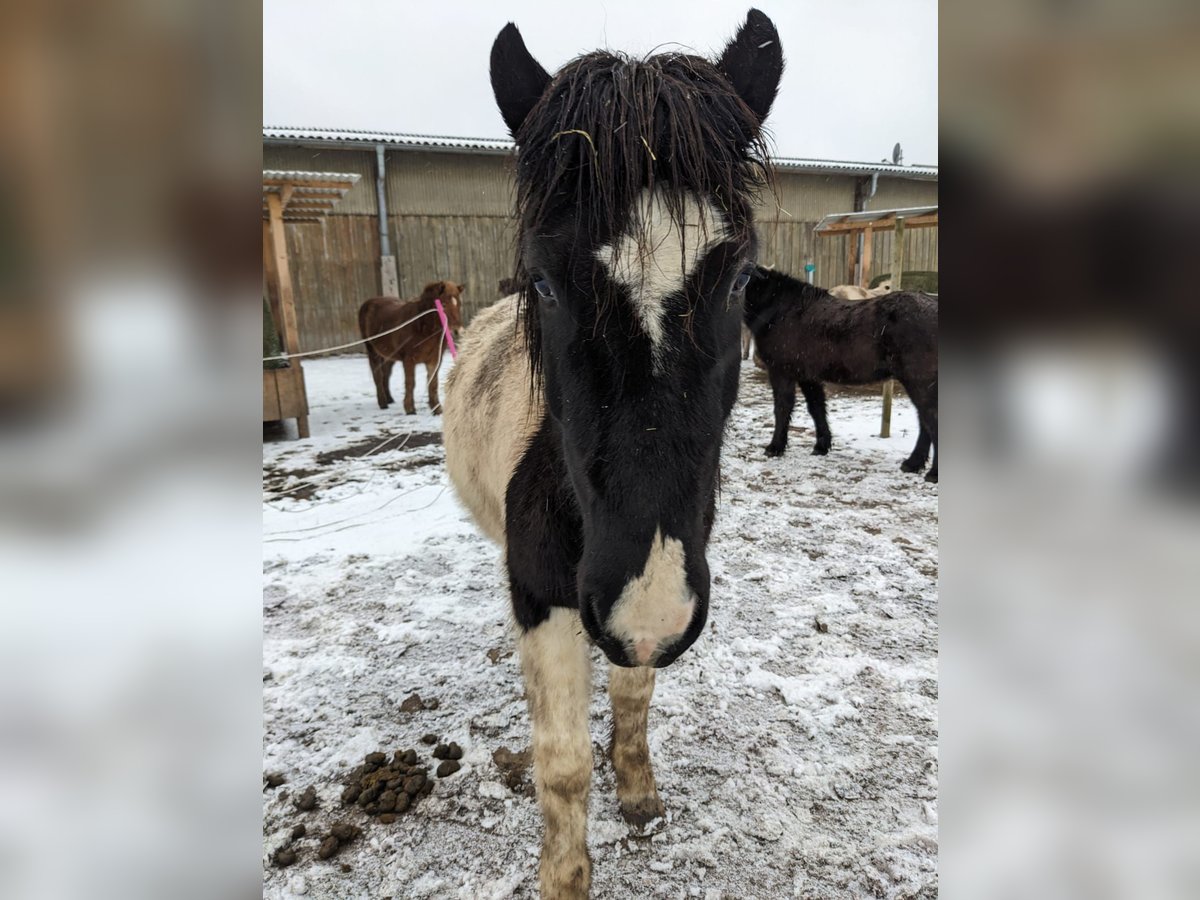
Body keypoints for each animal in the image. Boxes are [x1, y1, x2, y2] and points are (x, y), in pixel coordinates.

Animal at [355, 282, 463, 415]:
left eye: (459, 304)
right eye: (443, 304)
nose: (457, 331)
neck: (422, 328)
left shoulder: (434, 360)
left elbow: (433, 383)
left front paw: (436, 408)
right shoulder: (409, 360)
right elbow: (410, 383)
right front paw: (410, 409)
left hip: (389, 355)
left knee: (386, 374)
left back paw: (389, 399)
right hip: (372, 352)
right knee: (378, 375)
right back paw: (383, 403)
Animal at [446, 10, 782, 897]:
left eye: (741, 280)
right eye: (545, 283)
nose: (647, 606)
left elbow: (633, 696)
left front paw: (638, 794)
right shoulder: (546, 595)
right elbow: (561, 765)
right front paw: (565, 876)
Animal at [739, 266, 936, 482]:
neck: (782, 309)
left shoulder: (781, 372)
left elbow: (782, 409)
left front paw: (775, 447)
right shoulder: (808, 376)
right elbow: (816, 408)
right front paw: (821, 446)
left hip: (919, 383)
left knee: (931, 418)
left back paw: (932, 473)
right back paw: (913, 464)